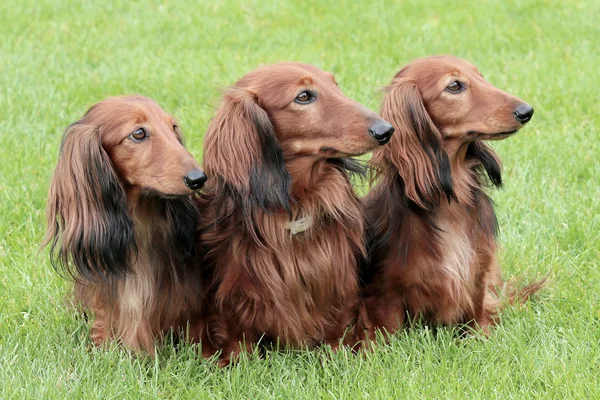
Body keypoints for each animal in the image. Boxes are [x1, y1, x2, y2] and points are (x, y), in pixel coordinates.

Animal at [199, 61, 396, 362]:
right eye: (304, 96)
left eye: (335, 85)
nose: (386, 130)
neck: (296, 207)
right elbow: (238, 343)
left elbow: (338, 332)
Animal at [358, 55, 548, 338]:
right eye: (454, 86)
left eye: (480, 76)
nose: (527, 111)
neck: (450, 199)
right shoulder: (384, 295)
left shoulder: (478, 275)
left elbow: (478, 320)